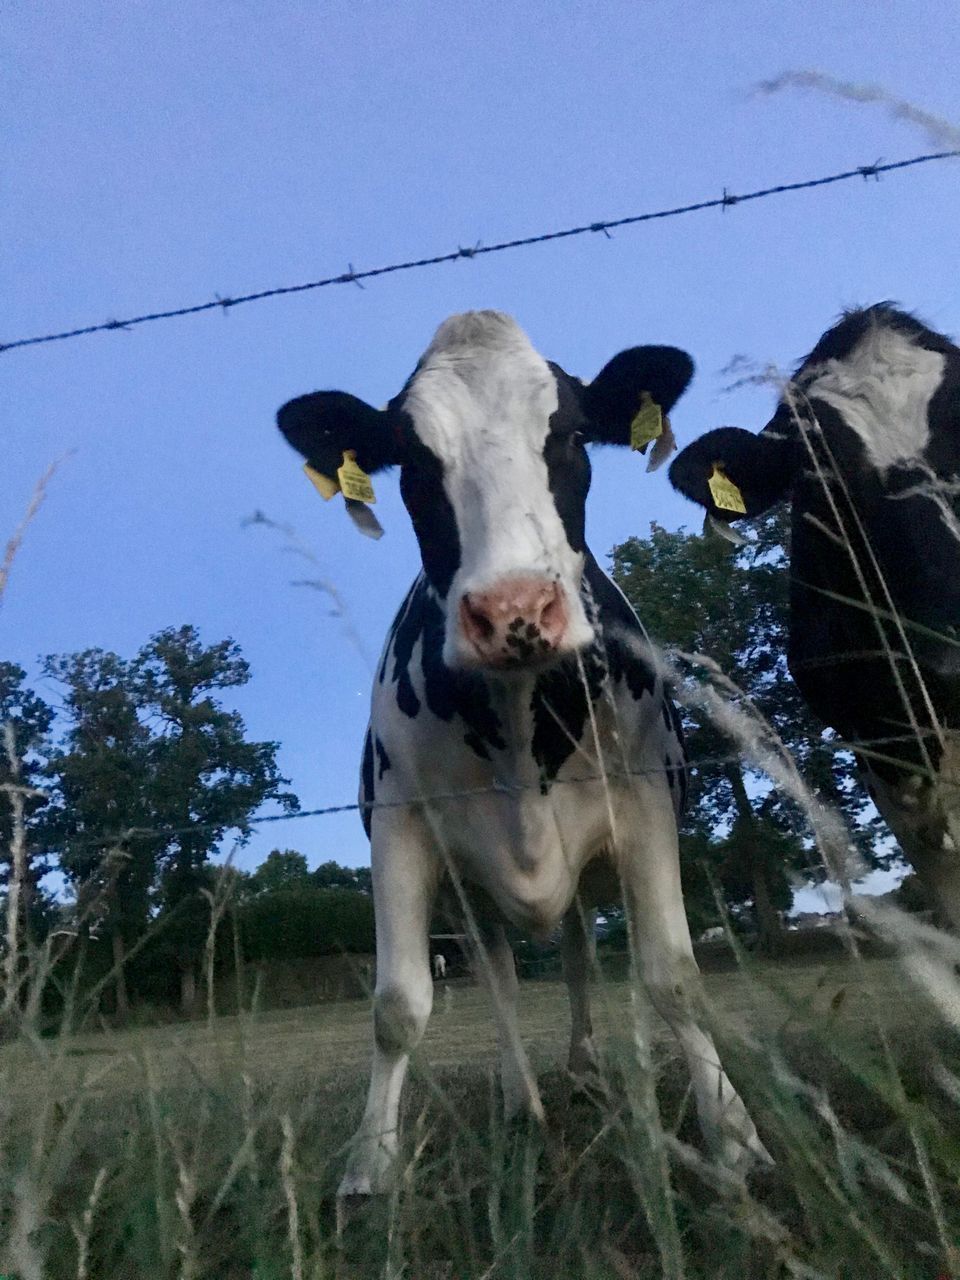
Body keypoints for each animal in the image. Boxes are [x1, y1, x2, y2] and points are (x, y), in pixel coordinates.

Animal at [276, 309, 768, 1198]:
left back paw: (605, 1073)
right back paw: (525, 1101)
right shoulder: (401, 826)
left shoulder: (645, 806)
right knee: (504, 978)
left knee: (587, 961)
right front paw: (370, 1168)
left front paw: (736, 1140)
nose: (513, 611)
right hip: (472, 895)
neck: (516, 722)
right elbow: (398, 1007)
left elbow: (673, 977)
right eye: (413, 459)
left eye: (567, 433)